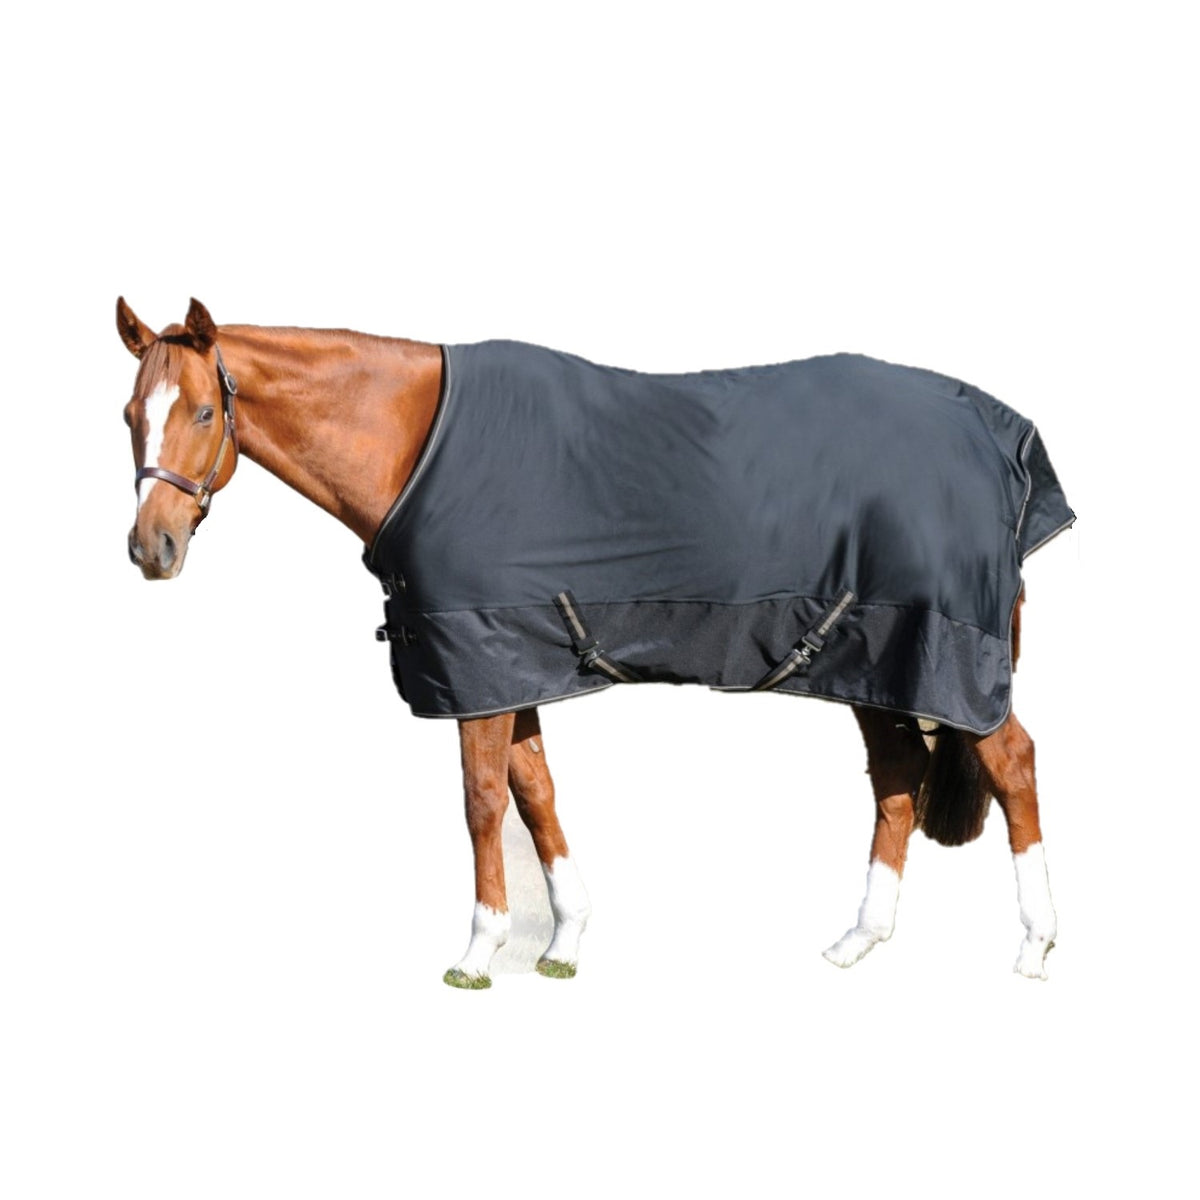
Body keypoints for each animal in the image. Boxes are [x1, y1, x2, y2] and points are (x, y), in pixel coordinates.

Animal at [118, 297, 1067, 987]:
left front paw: (479, 953)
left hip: (942, 657)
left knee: (1011, 762)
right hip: (871, 656)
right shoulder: (510, 663)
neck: (420, 443)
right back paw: (859, 940)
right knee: (900, 778)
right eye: (130, 412)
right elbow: (535, 792)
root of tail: (1008, 439)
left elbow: (482, 803)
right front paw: (564, 941)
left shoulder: (478, 666)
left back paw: (1035, 944)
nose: (150, 549)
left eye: (202, 411)